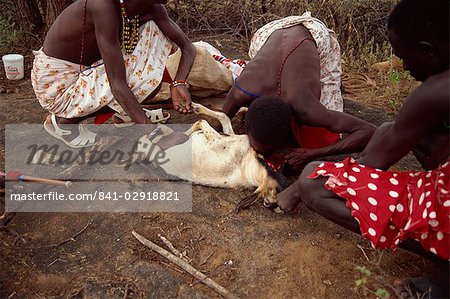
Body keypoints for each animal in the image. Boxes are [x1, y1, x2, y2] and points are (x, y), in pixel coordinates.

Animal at [135, 103, 288, 213]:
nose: (283, 155)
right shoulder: (227, 134)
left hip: (151, 148)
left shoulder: (215, 140)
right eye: (279, 167)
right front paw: (197, 107)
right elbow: (223, 116)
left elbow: (201, 122)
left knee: (148, 141)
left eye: (270, 201)